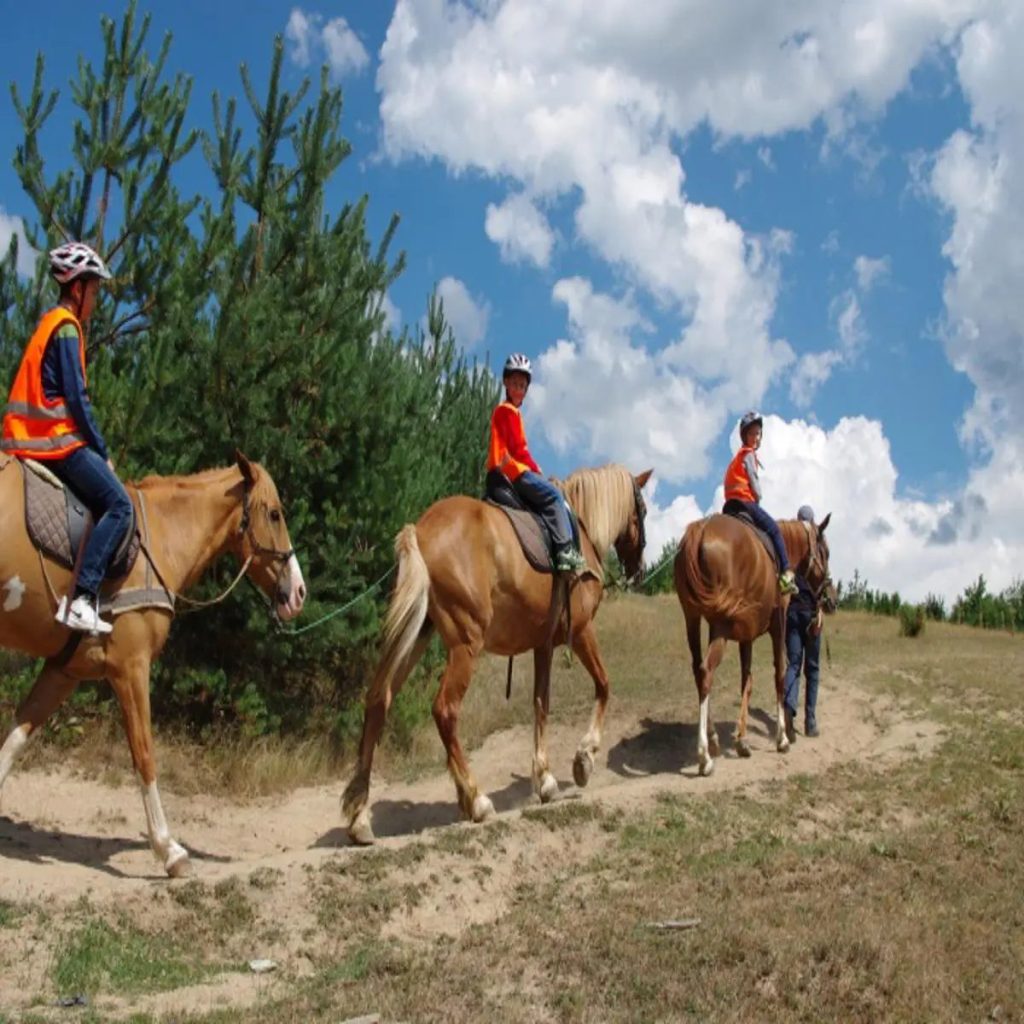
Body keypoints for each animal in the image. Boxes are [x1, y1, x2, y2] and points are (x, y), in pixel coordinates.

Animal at [0, 452, 303, 876]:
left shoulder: (63, 671)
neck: (160, 538)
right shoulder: (131, 669)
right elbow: (144, 755)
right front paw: (169, 849)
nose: (298, 592)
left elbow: (13, 741)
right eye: (274, 514)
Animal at [342, 462, 647, 839]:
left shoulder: (543, 644)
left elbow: (541, 704)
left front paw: (545, 779)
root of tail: (421, 529)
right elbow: (604, 685)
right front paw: (584, 758)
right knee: (445, 710)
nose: (639, 569)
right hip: (465, 644)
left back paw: (360, 817)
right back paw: (477, 800)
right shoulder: (581, 631)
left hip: (414, 635)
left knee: (377, 702)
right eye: (643, 511)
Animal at [671, 512, 831, 774]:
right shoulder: (779, 625)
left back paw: (713, 739)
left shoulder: (746, 636)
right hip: (721, 625)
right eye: (825, 552)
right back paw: (704, 755)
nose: (827, 595)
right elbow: (780, 675)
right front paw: (782, 738)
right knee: (706, 671)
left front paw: (742, 741)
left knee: (698, 671)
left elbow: (747, 681)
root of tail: (701, 529)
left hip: (692, 619)